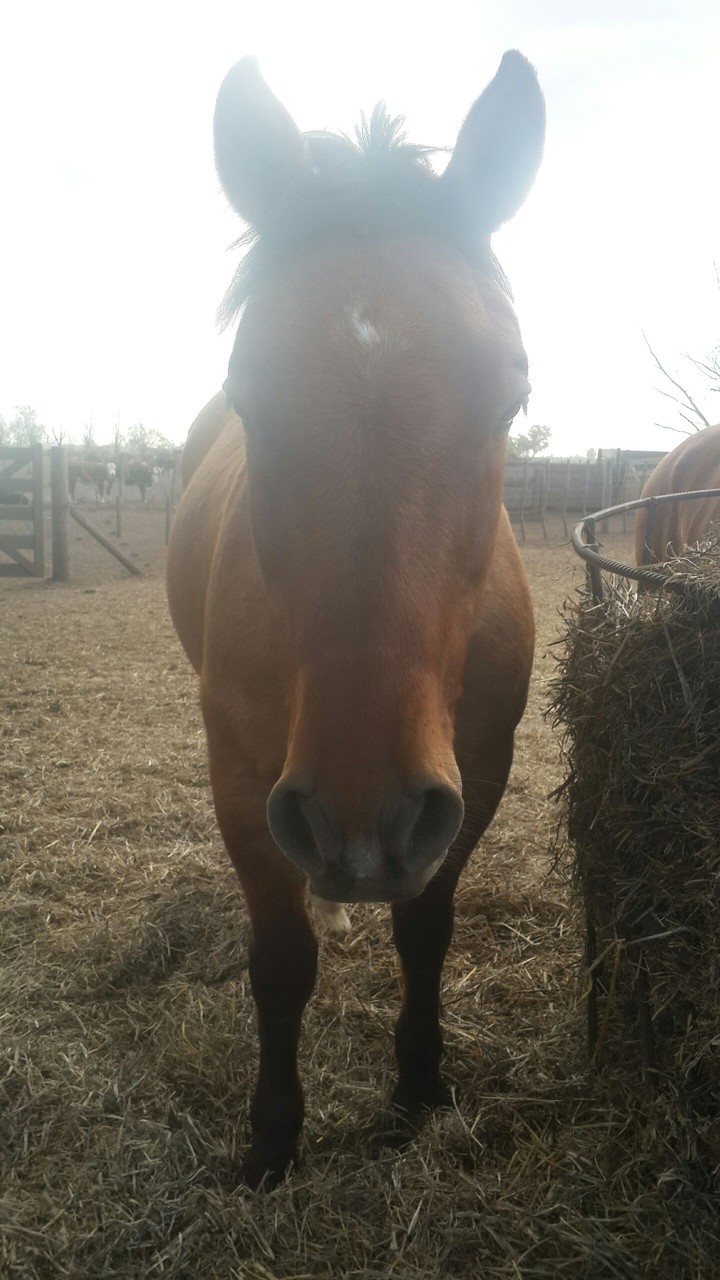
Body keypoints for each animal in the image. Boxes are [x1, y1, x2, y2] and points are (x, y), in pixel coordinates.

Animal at [167, 53, 544, 1189]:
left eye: (509, 395)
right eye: (250, 390)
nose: (360, 820)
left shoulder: (473, 776)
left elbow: (425, 929)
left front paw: (415, 1088)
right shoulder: (243, 780)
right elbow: (282, 960)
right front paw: (273, 1135)